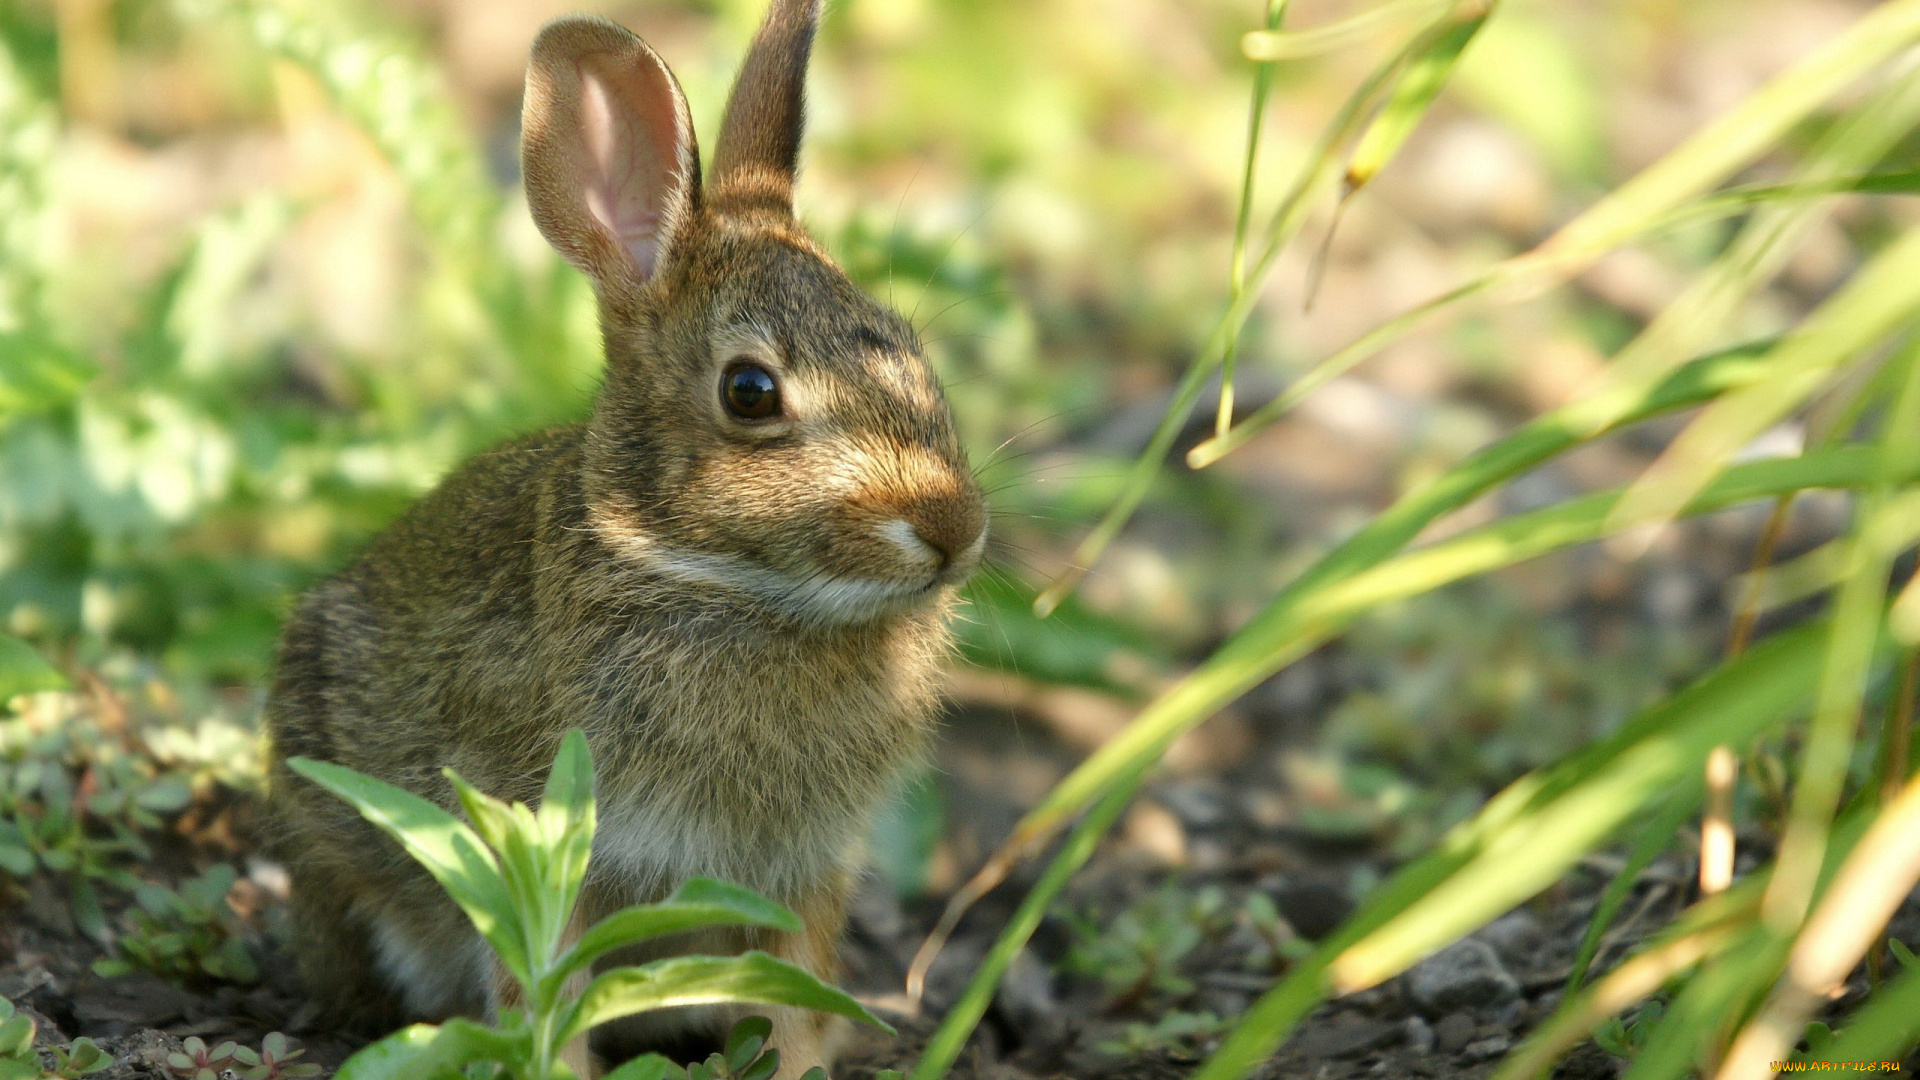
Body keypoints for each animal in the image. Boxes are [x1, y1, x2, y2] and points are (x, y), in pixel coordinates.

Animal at [266, 4, 990, 1068]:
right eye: (750, 392)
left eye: (910, 348)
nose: (955, 528)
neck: (715, 578)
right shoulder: (545, 836)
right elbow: (543, 986)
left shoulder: (802, 871)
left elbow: (795, 993)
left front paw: (804, 1069)